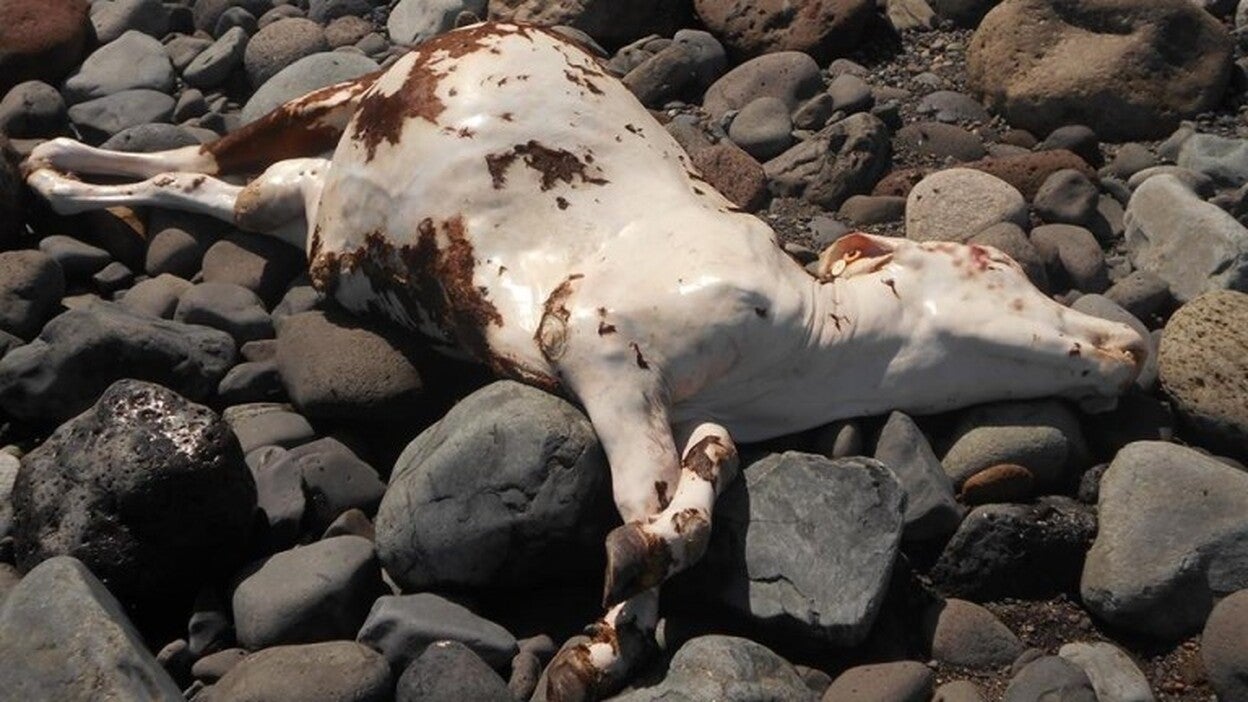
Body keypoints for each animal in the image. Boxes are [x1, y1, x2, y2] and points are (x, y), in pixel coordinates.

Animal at [22, 22, 1146, 701]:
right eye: (1000, 267)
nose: (1131, 348)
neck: (810, 345)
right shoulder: (593, 338)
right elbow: (649, 503)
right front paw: (611, 615)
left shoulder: (682, 410)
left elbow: (691, 488)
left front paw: (607, 630)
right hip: (327, 110)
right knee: (198, 157)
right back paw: (47, 164)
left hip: (299, 205)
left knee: (201, 185)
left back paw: (60, 173)